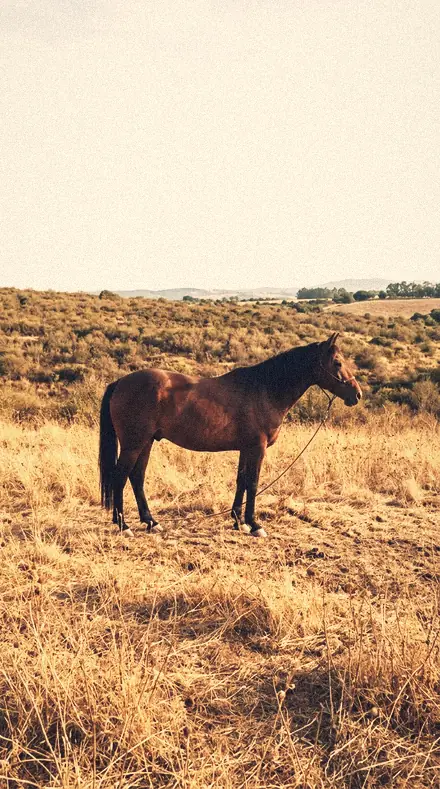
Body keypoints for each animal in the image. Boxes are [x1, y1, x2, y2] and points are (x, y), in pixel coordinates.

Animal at [99, 332, 361, 538]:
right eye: (337, 362)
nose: (357, 394)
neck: (264, 389)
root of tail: (120, 382)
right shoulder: (257, 448)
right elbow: (253, 483)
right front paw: (255, 525)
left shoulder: (246, 448)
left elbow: (241, 481)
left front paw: (238, 521)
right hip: (134, 444)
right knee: (120, 477)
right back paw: (124, 525)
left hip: (146, 443)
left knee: (137, 477)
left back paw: (151, 522)